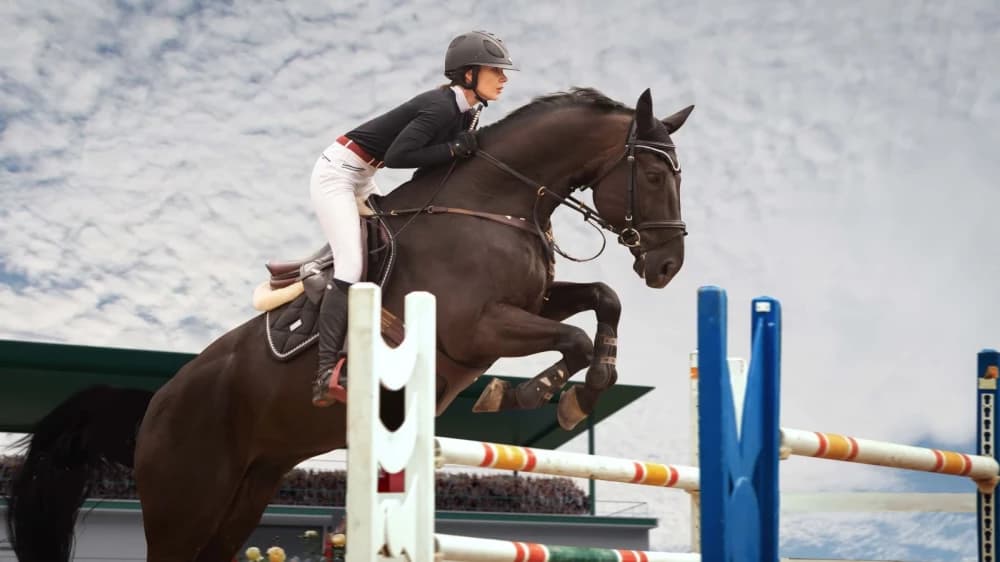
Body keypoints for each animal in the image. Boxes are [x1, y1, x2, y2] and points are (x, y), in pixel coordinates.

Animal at [5, 86, 693, 562]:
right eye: (654, 174)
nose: (667, 266)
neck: (496, 203)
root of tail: (155, 403)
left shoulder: (536, 300)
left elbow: (603, 299)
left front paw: (586, 387)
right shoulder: (476, 328)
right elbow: (572, 336)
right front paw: (532, 393)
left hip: (243, 496)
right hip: (184, 504)